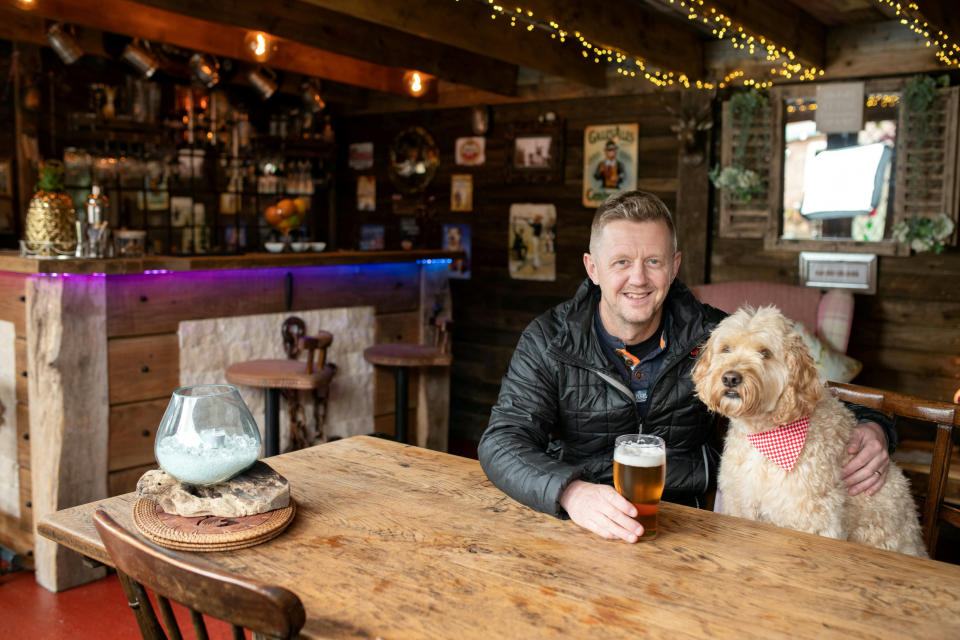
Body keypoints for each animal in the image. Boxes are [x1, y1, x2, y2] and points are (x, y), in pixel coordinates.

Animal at [692, 304, 928, 556]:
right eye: (726, 349)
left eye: (765, 353)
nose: (730, 378)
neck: (764, 436)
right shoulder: (741, 503)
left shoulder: (813, 518)